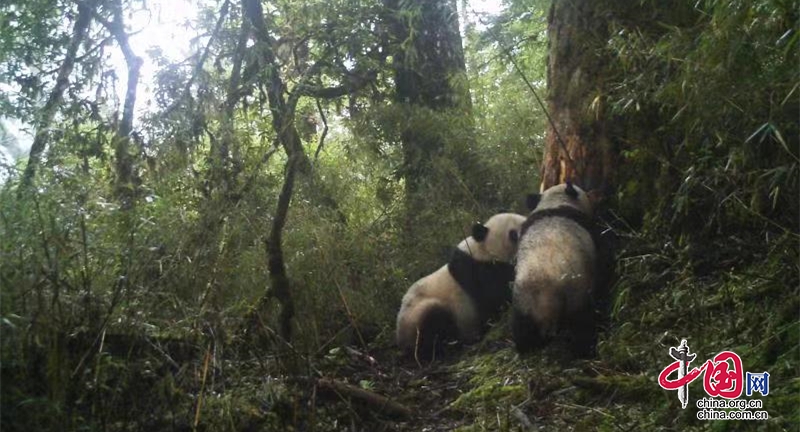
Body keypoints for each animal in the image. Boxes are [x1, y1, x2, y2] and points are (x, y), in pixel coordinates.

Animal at [396, 213, 528, 362]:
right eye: (513, 234)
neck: (482, 249)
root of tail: (400, 340)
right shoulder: (478, 271)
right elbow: (496, 295)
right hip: (417, 314)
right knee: (433, 322)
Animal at [512, 182, 600, 358]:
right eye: (583, 191)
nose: (592, 193)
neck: (555, 202)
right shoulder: (586, 226)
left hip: (523, 302)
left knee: (522, 330)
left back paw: (525, 346)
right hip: (577, 291)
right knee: (582, 323)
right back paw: (584, 350)